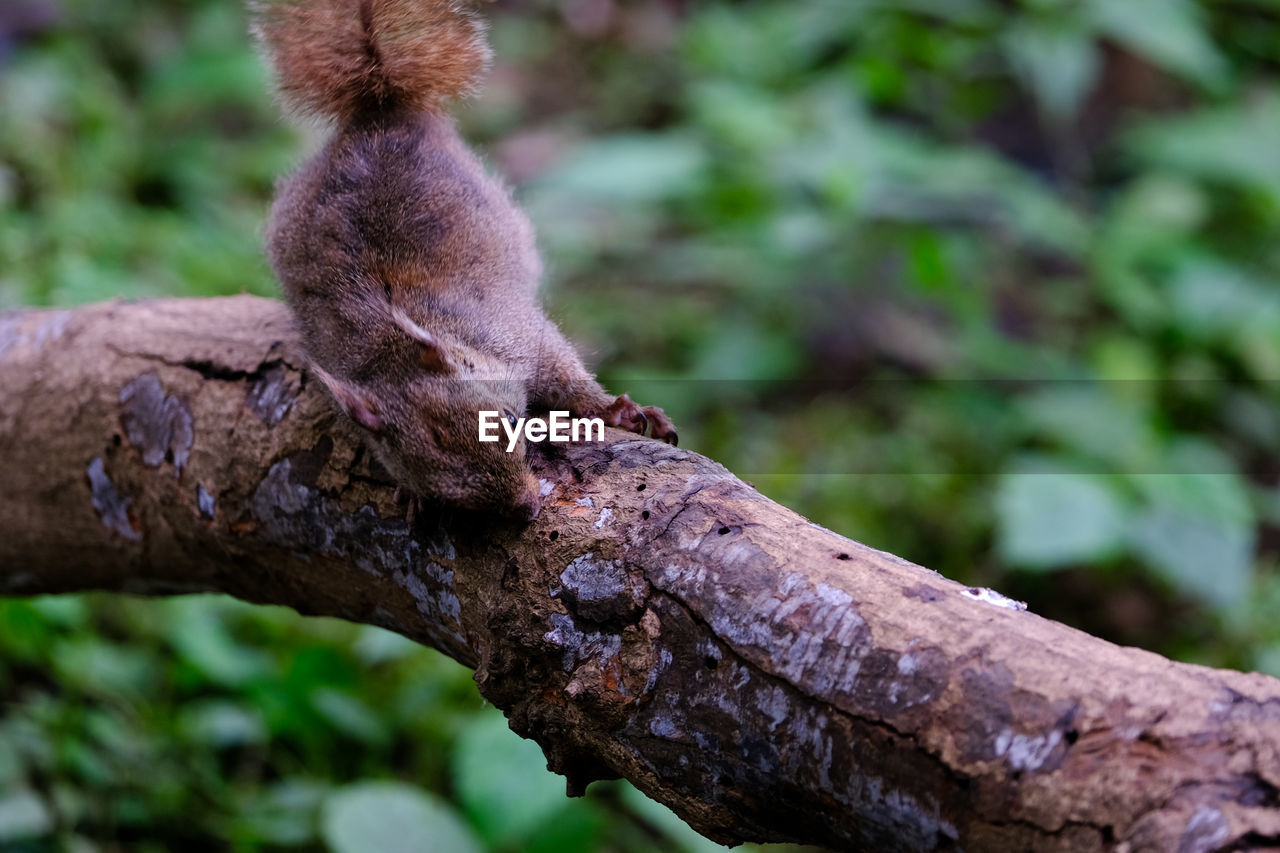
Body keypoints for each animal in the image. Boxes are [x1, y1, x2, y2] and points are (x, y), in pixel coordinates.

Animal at [254, 0, 686, 517]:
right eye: (440, 487)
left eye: (512, 420)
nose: (526, 507)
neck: (391, 346)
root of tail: (379, 113)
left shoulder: (520, 334)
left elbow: (567, 376)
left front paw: (615, 409)